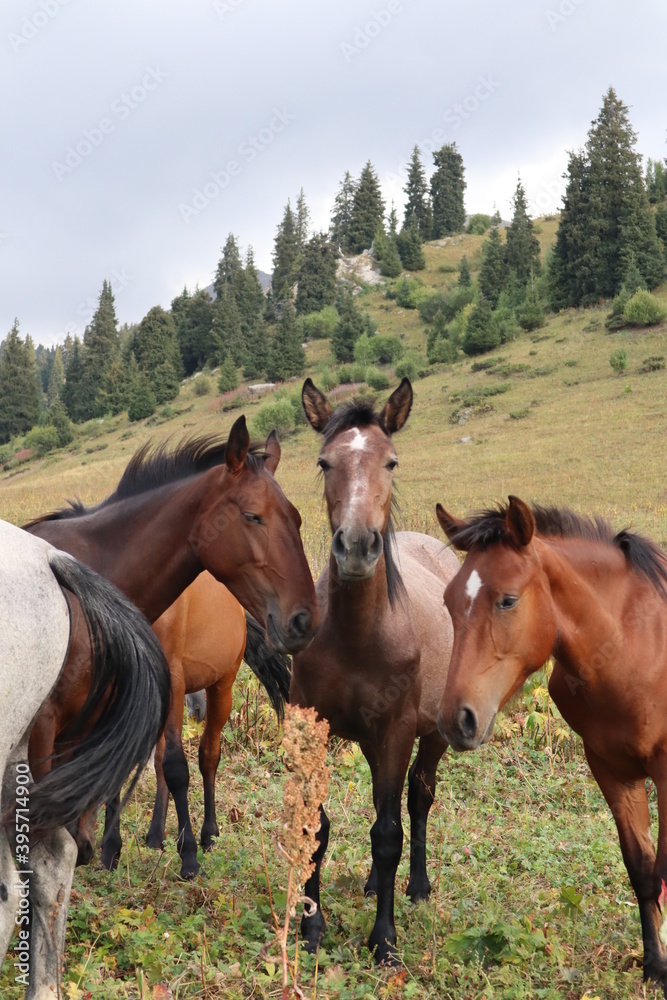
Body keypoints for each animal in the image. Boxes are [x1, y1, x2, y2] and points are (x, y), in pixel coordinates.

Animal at [25, 414, 318, 879]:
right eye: (252, 516)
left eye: (297, 518)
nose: (303, 619)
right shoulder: (63, 719)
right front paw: (111, 848)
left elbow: (170, 766)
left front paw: (186, 852)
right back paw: (152, 835)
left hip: (220, 686)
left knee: (207, 755)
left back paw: (202, 834)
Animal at [290, 378, 460, 965]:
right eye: (324, 462)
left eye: (391, 461)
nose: (358, 547)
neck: (359, 635)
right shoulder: (314, 726)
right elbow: (315, 828)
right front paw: (311, 927)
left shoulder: (396, 731)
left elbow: (388, 834)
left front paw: (384, 941)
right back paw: (370, 884)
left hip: (430, 735)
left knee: (418, 799)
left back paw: (416, 886)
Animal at [435, 495, 667, 993]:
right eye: (448, 600)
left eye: (507, 599)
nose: (455, 719)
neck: (634, 648)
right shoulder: (611, 771)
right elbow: (642, 870)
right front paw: (655, 965)